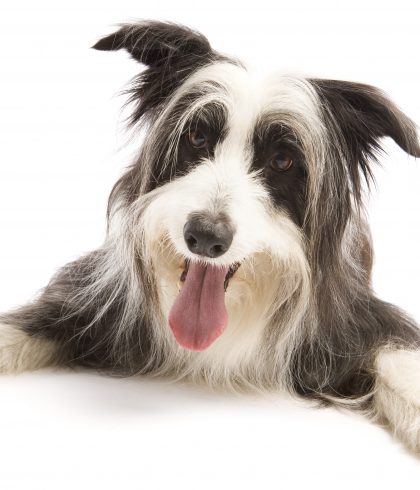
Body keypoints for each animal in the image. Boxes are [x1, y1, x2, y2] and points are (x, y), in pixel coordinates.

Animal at [1, 20, 420, 453]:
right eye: (197, 138)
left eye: (282, 160)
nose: (204, 237)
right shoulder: (98, 295)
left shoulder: (350, 319)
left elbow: (397, 354)